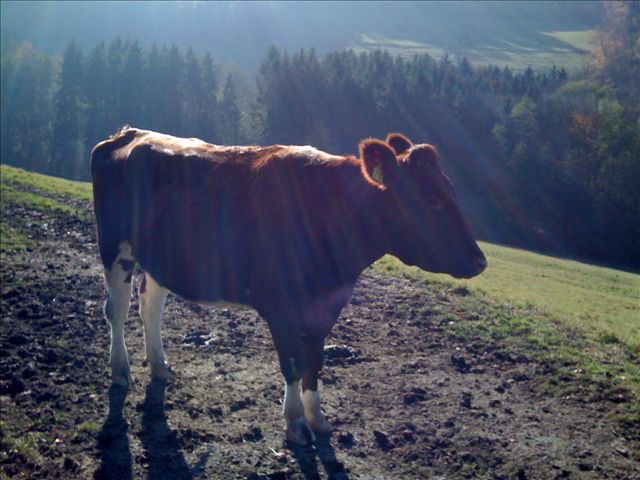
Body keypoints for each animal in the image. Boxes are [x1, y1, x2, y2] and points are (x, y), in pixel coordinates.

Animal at [91, 127, 486, 445]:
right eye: (432, 199)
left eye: (451, 192)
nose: (480, 261)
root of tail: (129, 133)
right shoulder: (279, 305)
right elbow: (293, 363)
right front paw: (296, 422)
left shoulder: (326, 305)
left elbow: (315, 361)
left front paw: (318, 418)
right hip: (114, 245)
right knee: (118, 309)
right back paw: (121, 369)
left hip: (161, 256)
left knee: (150, 304)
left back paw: (159, 364)